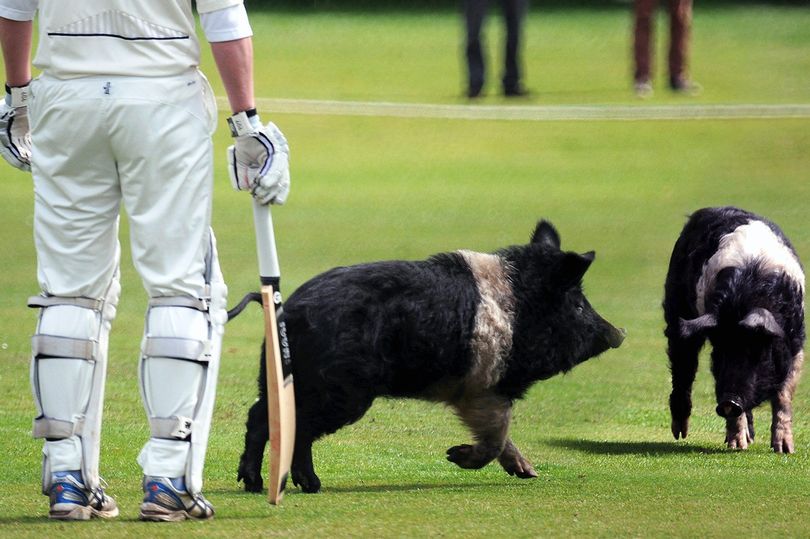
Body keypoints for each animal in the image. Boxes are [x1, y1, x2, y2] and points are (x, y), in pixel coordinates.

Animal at [234, 220, 624, 494]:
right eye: (577, 304)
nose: (620, 334)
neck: (518, 312)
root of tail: (286, 308)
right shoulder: (485, 386)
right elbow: (495, 437)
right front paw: (453, 455)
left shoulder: (477, 391)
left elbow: (501, 437)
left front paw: (528, 472)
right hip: (339, 391)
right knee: (295, 427)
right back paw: (310, 485)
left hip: (281, 380)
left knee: (260, 417)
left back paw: (254, 484)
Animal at [664, 209, 800, 454]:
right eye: (720, 352)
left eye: (760, 354)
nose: (730, 401)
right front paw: (737, 446)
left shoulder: (797, 344)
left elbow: (784, 395)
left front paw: (785, 450)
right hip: (677, 311)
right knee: (683, 369)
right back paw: (681, 433)